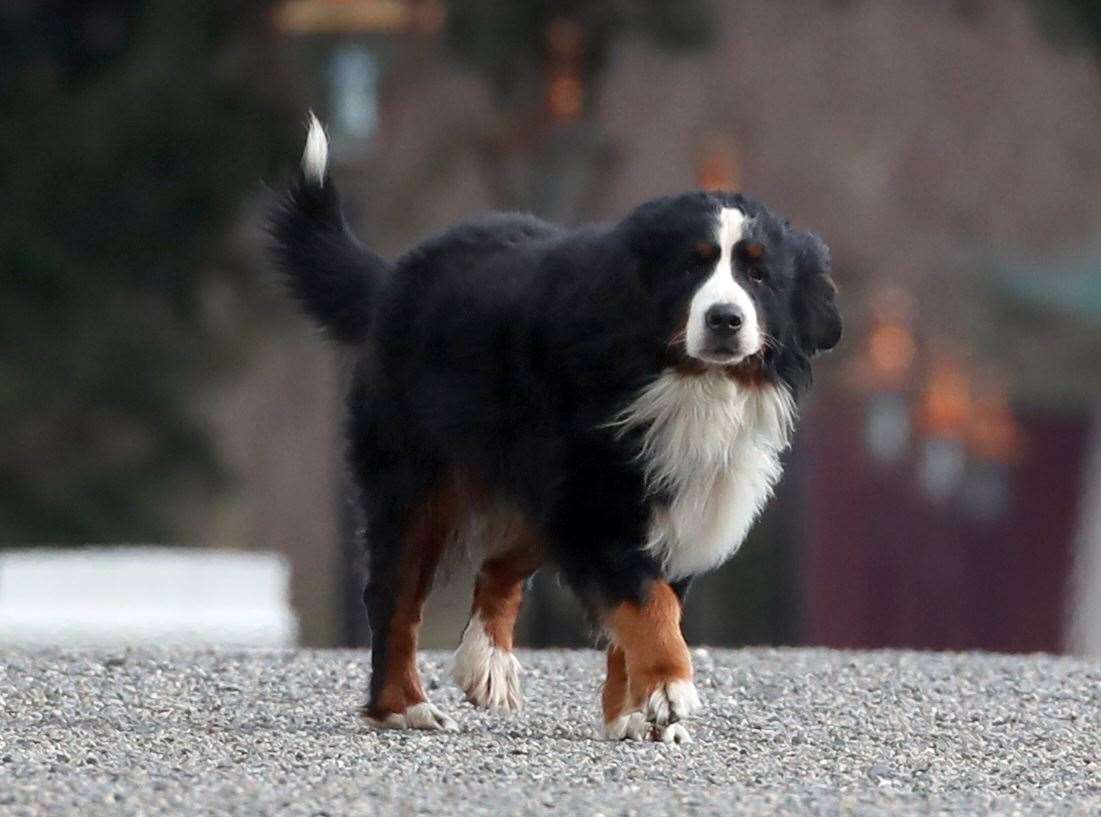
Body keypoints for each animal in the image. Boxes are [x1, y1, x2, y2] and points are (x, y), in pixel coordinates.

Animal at [268, 115, 841, 748]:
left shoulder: (674, 505)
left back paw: (486, 662)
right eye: (691, 267)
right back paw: (404, 705)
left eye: (759, 275)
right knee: (394, 594)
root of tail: (394, 279)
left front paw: (633, 713)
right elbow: (650, 604)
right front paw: (669, 687)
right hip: (419, 480)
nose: (725, 319)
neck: (681, 379)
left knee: (497, 568)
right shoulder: (601, 502)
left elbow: (639, 609)